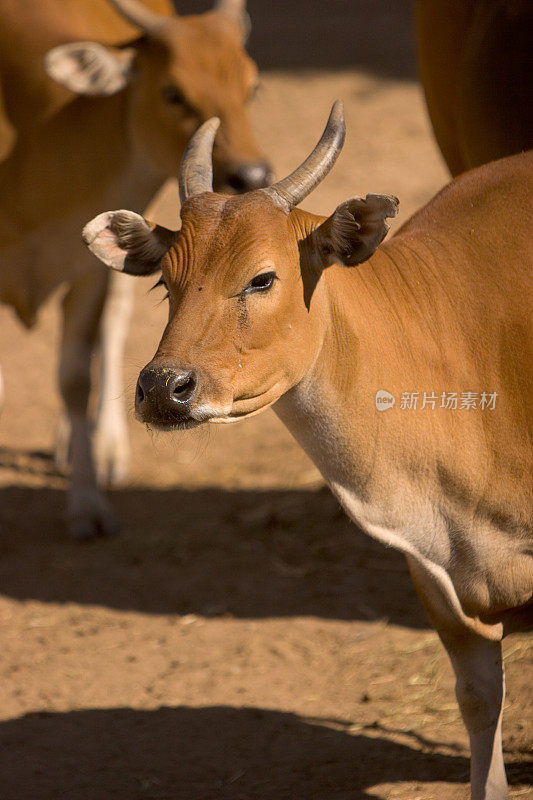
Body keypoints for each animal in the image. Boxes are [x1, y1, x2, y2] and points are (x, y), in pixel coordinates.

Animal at [0, 0, 272, 540]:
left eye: (251, 86)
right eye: (173, 92)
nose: (251, 175)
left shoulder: (87, 267)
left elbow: (75, 378)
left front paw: (88, 504)